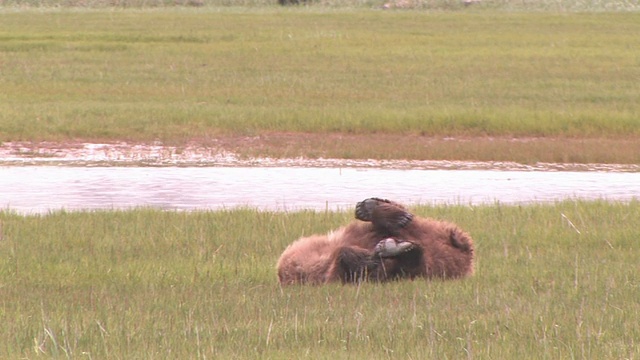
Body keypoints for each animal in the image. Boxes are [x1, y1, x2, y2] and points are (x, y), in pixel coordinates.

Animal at [276, 198, 476, 286]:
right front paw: (379, 255)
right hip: (435, 263)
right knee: (417, 263)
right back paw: (402, 249)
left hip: (434, 231)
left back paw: (374, 209)